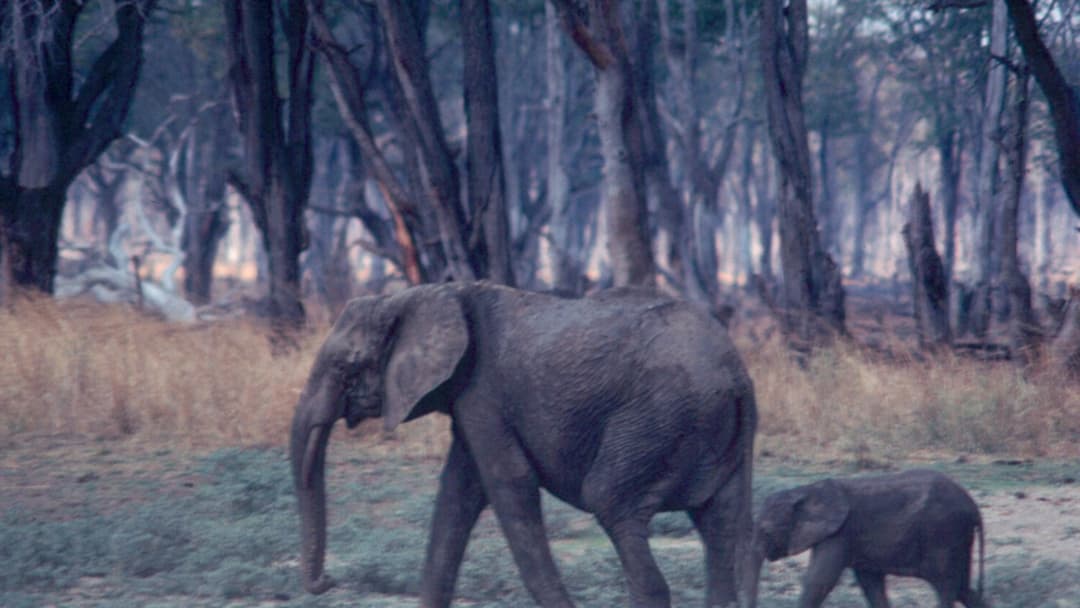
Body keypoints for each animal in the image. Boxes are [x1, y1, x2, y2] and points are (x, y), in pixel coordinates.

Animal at [290, 281, 758, 607]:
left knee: (612, 504)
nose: (326, 582)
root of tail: (737, 375)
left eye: (345, 367)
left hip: (659, 420)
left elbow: (509, 486)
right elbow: (457, 494)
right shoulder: (470, 398)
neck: (427, 293)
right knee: (720, 531)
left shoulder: (484, 392)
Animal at [746, 469, 985, 608]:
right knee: (963, 589)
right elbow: (871, 586)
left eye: (766, 531)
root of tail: (973, 507)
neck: (806, 490)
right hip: (957, 536)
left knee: (945, 585)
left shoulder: (840, 533)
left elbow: (818, 581)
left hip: (943, 532)